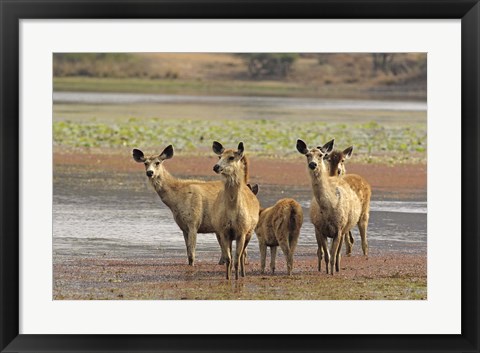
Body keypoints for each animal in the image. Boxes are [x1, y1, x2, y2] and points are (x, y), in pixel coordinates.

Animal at [213, 140, 260, 278]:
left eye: (231, 157)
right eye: (219, 156)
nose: (216, 167)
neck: (232, 211)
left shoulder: (242, 232)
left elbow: (237, 258)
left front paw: (238, 278)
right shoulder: (224, 232)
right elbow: (229, 259)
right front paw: (228, 278)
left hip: (249, 232)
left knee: (242, 255)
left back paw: (243, 274)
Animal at [294, 139, 362, 274]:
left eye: (321, 155)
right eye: (307, 155)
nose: (313, 164)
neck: (328, 208)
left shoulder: (339, 229)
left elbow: (333, 255)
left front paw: (332, 272)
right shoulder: (320, 229)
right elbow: (326, 255)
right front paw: (325, 271)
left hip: (345, 228)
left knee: (339, 252)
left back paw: (337, 268)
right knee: (322, 252)